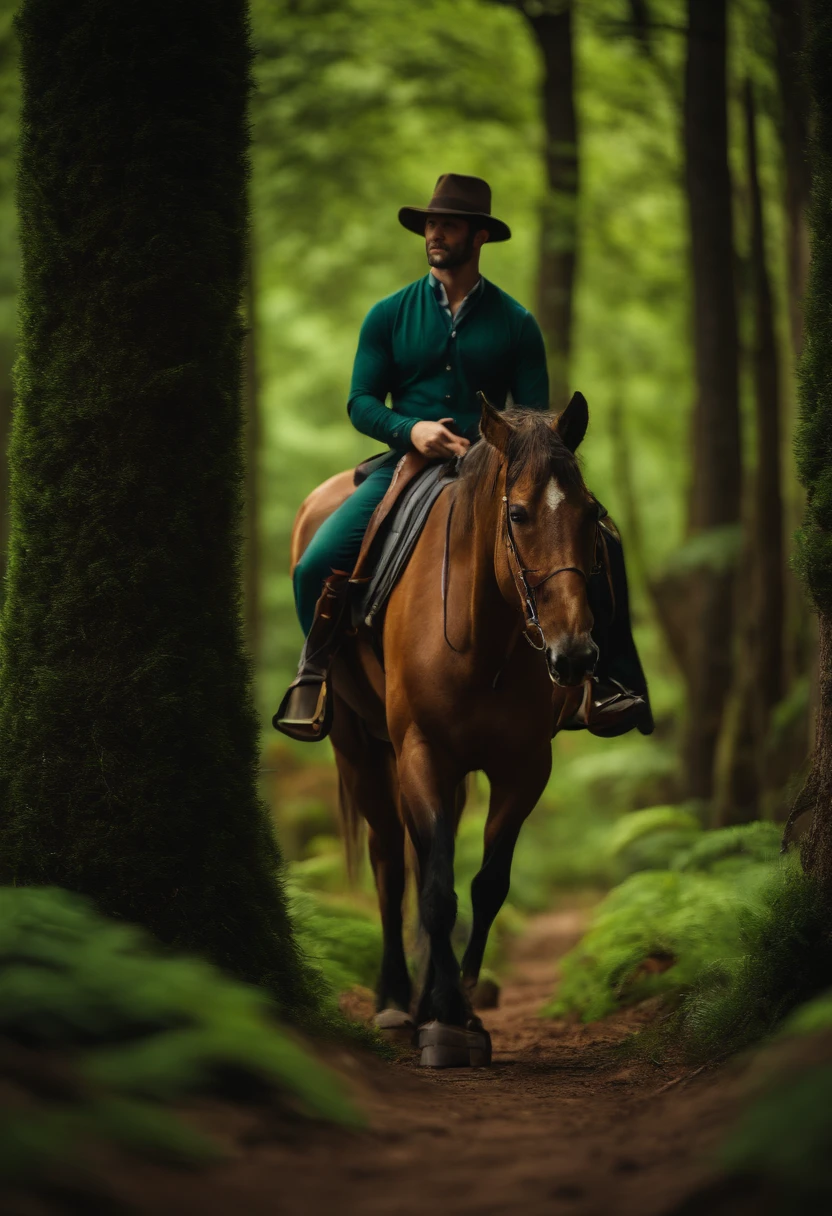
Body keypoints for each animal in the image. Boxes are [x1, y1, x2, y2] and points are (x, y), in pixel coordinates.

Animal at [290, 396, 598, 1055]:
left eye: (591, 513)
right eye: (518, 513)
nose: (575, 655)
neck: (483, 636)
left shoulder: (524, 769)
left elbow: (485, 885)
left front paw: (464, 1004)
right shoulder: (421, 752)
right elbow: (433, 889)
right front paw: (444, 1015)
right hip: (359, 748)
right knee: (389, 861)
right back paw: (393, 1000)